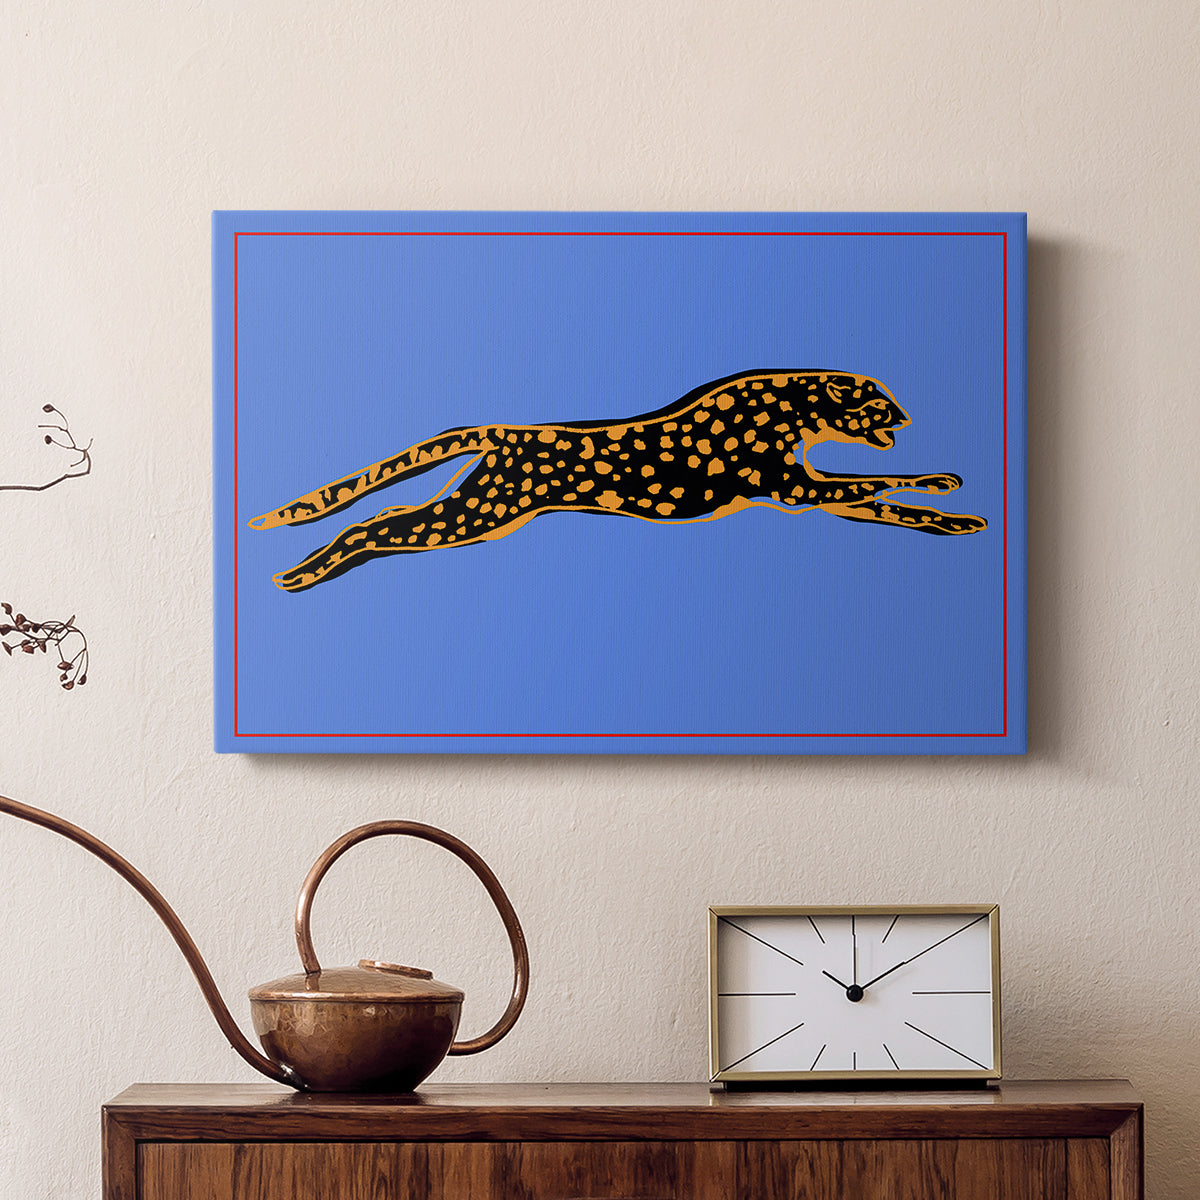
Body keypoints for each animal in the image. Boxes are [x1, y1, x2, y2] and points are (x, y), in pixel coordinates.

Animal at [249, 369, 987, 592]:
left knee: (379, 522)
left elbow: (894, 500)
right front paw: (946, 496)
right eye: (879, 403)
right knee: (371, 526)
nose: (906, 415)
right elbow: (874, 484)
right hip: (477, 515)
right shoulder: (798, 491)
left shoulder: (813, 492)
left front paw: (951, 503)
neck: (787, 403)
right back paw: (307, 572)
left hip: (473, 507)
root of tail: (501, 430)